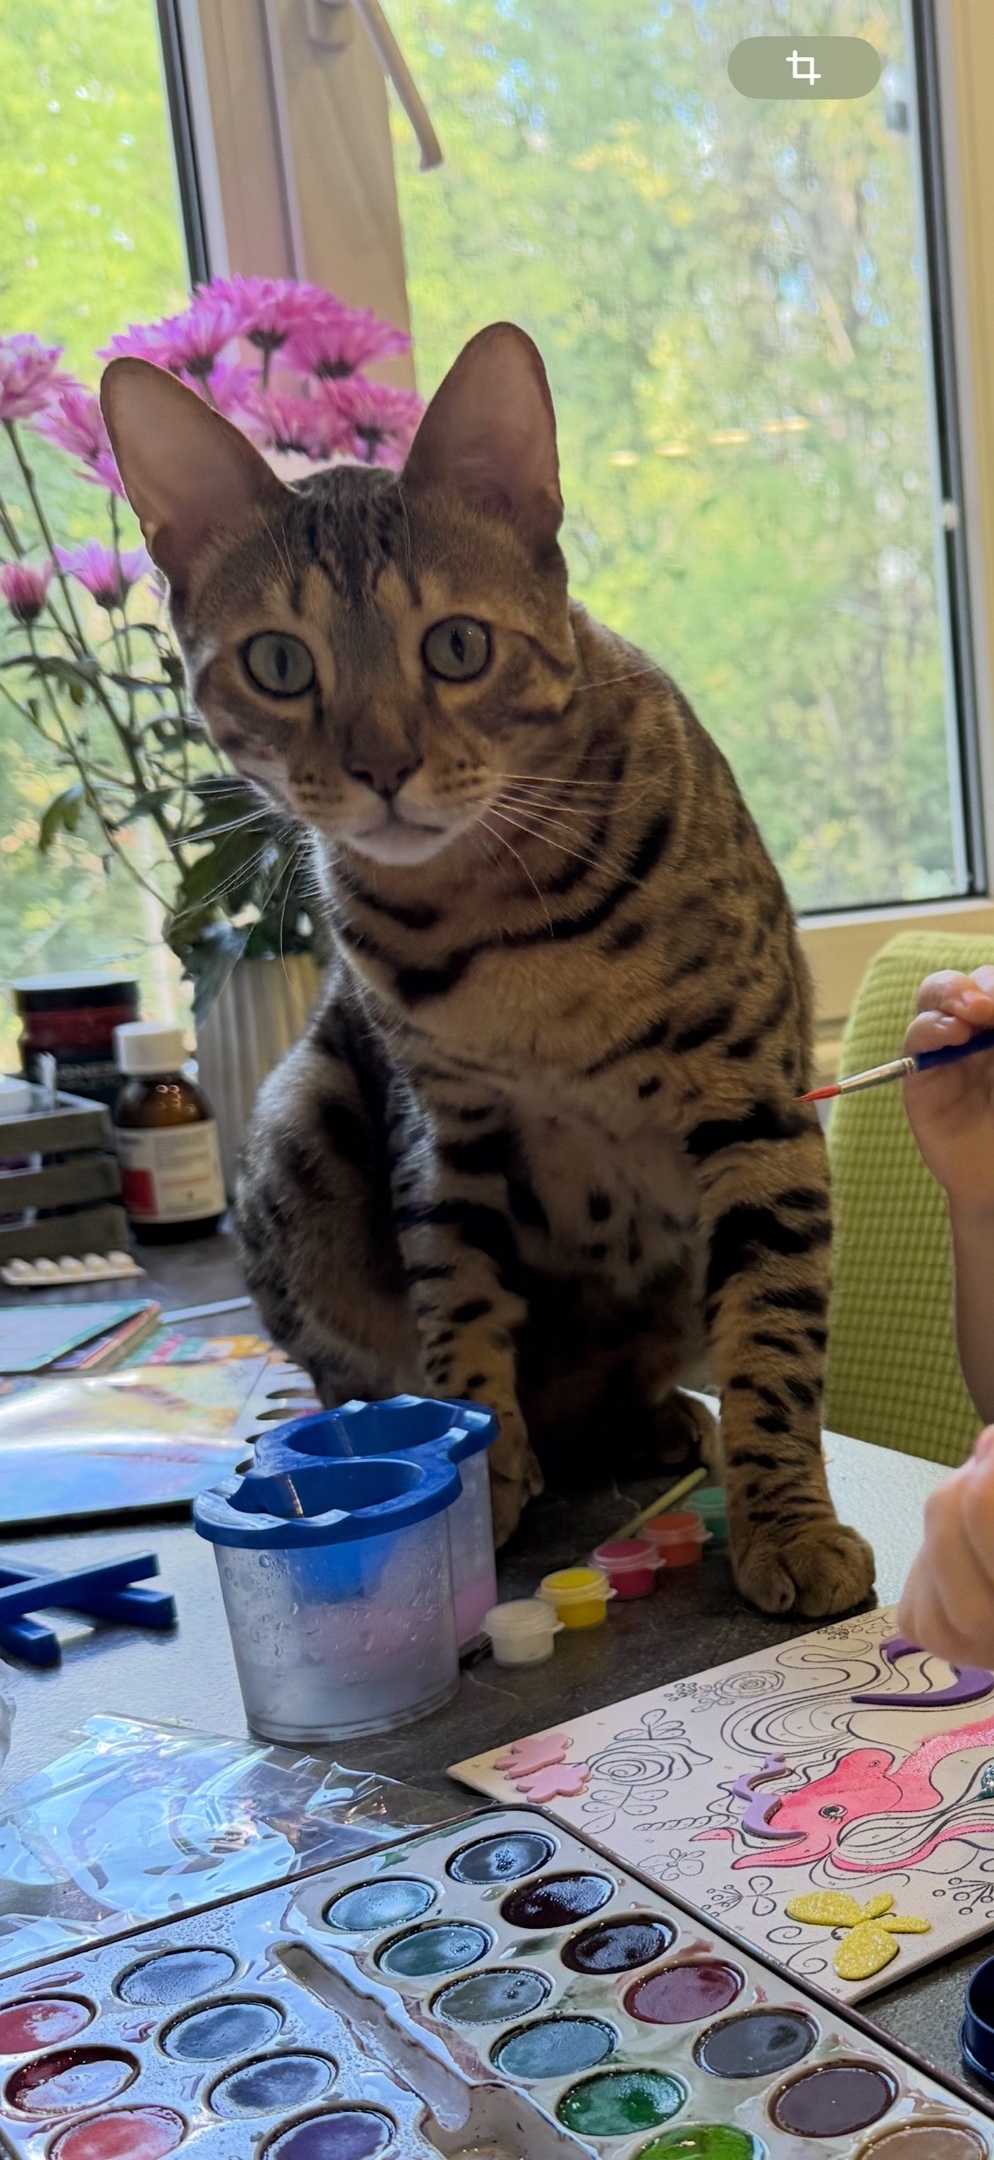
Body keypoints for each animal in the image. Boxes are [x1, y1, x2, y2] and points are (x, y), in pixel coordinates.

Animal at [101, 321, 875, 1618]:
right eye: (278, 663)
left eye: (456, 645)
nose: (381, 766)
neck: (495, 912)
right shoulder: (446, 1135)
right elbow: (456, 1311)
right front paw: (472, 1477)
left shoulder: (755, 1111)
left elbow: (773, 1339)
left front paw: (785, 1520)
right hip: (301, 1118)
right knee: (357, 1364)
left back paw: (656, 1422)